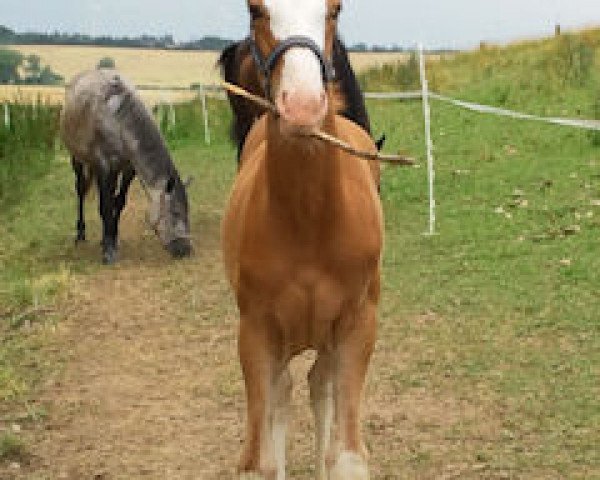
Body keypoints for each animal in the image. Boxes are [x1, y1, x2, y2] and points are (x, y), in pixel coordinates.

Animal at [59, 68, 191, 262]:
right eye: (175, 212)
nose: (185, 249)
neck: (119, 119)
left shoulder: (128, 168)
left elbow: (118, 202)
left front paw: (112, 239)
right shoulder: (104, 167)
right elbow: (105, 206)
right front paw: (108, 251)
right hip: (77, 159)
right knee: (81, 191)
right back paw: (81, 234)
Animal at [221, 1, 384, 478]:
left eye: (335, 9)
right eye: (254, 9)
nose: (303, 106)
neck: (310, 223)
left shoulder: (357, 327)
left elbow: (347, 457)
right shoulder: (256, 333)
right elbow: (261, 459)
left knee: (318, 389)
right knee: (286, 395)